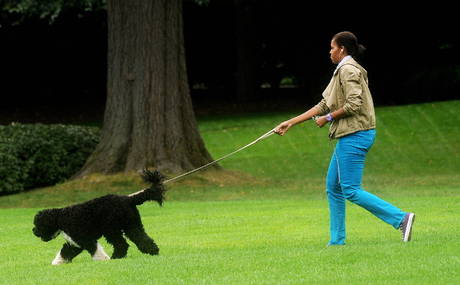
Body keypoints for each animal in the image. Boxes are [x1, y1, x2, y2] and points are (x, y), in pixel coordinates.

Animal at [32, 169, 166, 264]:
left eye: (38, 224)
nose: (33, 231)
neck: (60, 218)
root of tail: (128, 199)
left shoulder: (84, 238)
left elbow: (94, 249)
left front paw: (103, 259)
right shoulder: (74, 242)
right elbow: (65, 252)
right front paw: (57, 263)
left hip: (111, 229)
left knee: (122, 244)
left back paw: (115, 257)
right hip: (132, 225)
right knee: (142, 239)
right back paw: (153, 251)